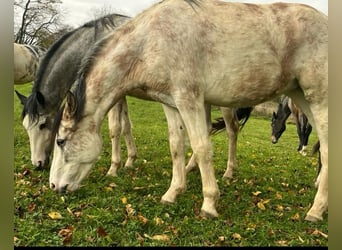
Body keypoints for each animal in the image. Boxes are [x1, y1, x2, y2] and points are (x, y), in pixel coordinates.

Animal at [48, 0, 328, 223]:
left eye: (60, 141)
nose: (54, 186)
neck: (150, 40)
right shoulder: (171, 103)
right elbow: (177, 146)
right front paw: (173, 192)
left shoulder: (189, 99)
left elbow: (202, 147)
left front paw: (209, 204)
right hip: (301, 97)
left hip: (319, 99)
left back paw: (316, 210)